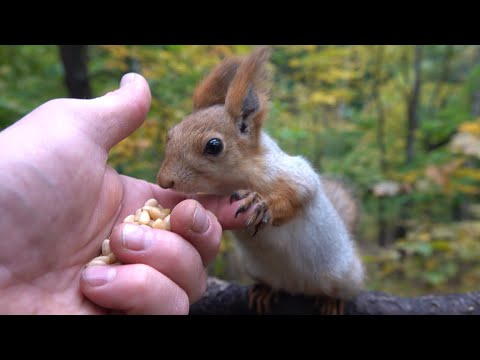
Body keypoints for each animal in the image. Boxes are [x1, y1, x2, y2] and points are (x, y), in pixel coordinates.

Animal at [157, 46, 364, 314]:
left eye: (214, 146)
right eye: (170, 134)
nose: (164, 181)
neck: (233, 181)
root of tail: (298, 286)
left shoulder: (294, 174)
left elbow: (298, 195)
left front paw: (260, 203)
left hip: (346, 275)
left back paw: (332, 300)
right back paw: (265, 291)